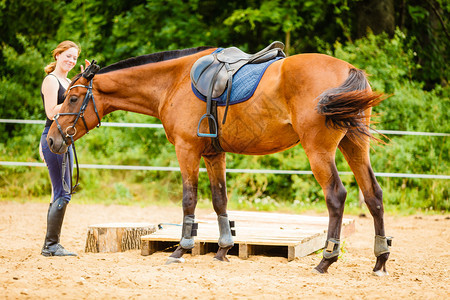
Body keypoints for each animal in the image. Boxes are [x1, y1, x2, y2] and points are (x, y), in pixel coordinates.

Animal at [46, 45, 390, 276]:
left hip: (319, 151)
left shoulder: (186, 150)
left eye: (73, 98)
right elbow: (219, 199)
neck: (173, 81)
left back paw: (326, 260)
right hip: (354, 145)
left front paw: (181, 249)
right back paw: (380, 260)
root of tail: (349, 71)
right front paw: (223, 249)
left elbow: (189, 199)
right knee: (373, 195)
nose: (52, 139)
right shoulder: (214, 154)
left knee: (337, 196)